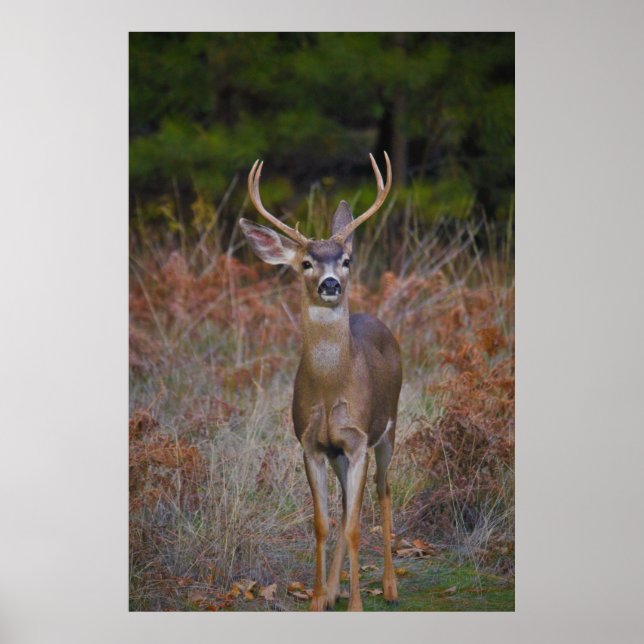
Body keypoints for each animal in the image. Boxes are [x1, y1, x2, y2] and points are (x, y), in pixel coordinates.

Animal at [239, 152, 401, 611]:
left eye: (346, 260)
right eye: (306, 263)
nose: (331, 284)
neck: (331, 391)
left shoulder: (359, 438)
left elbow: (354, 525)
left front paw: (357, 605)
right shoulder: (311, 443)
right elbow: (323, 523)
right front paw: (316, 599)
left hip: (389, 427)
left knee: (382, 493)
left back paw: (389, 586)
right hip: (338, 454)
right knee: (347, 505)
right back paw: (333, 590)